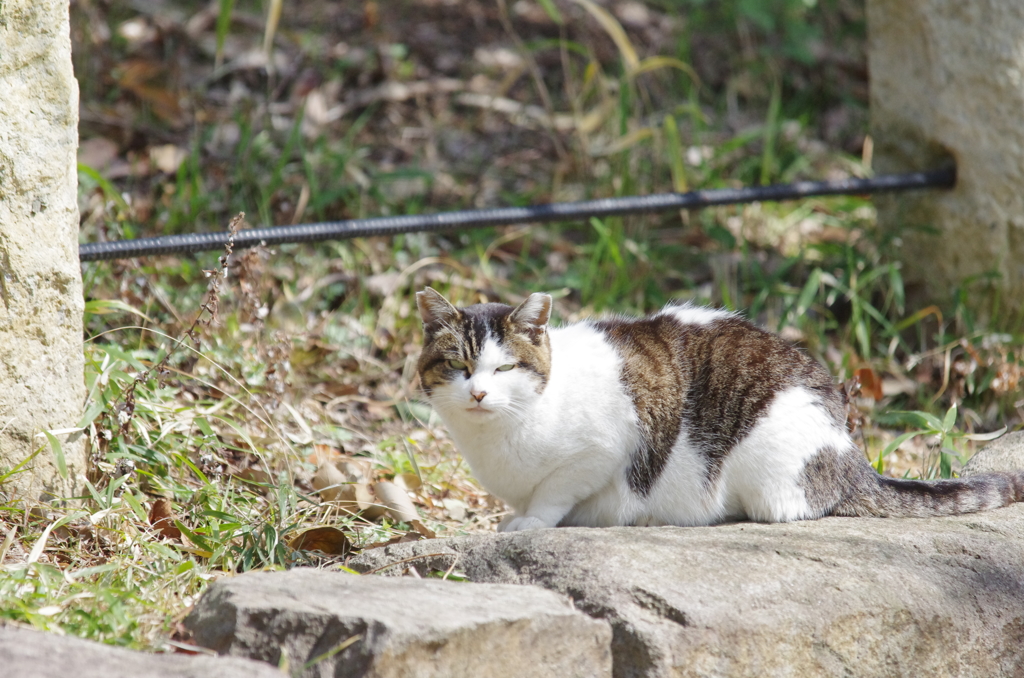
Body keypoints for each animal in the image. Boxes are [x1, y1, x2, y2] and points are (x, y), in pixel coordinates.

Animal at [411, 286, 1019, 532]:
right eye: (460, 367)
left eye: (504, 370)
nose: (478, 394)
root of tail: (854, 460)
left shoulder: (605, 446)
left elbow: (556, 490)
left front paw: (533, 520)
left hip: (766, 455)